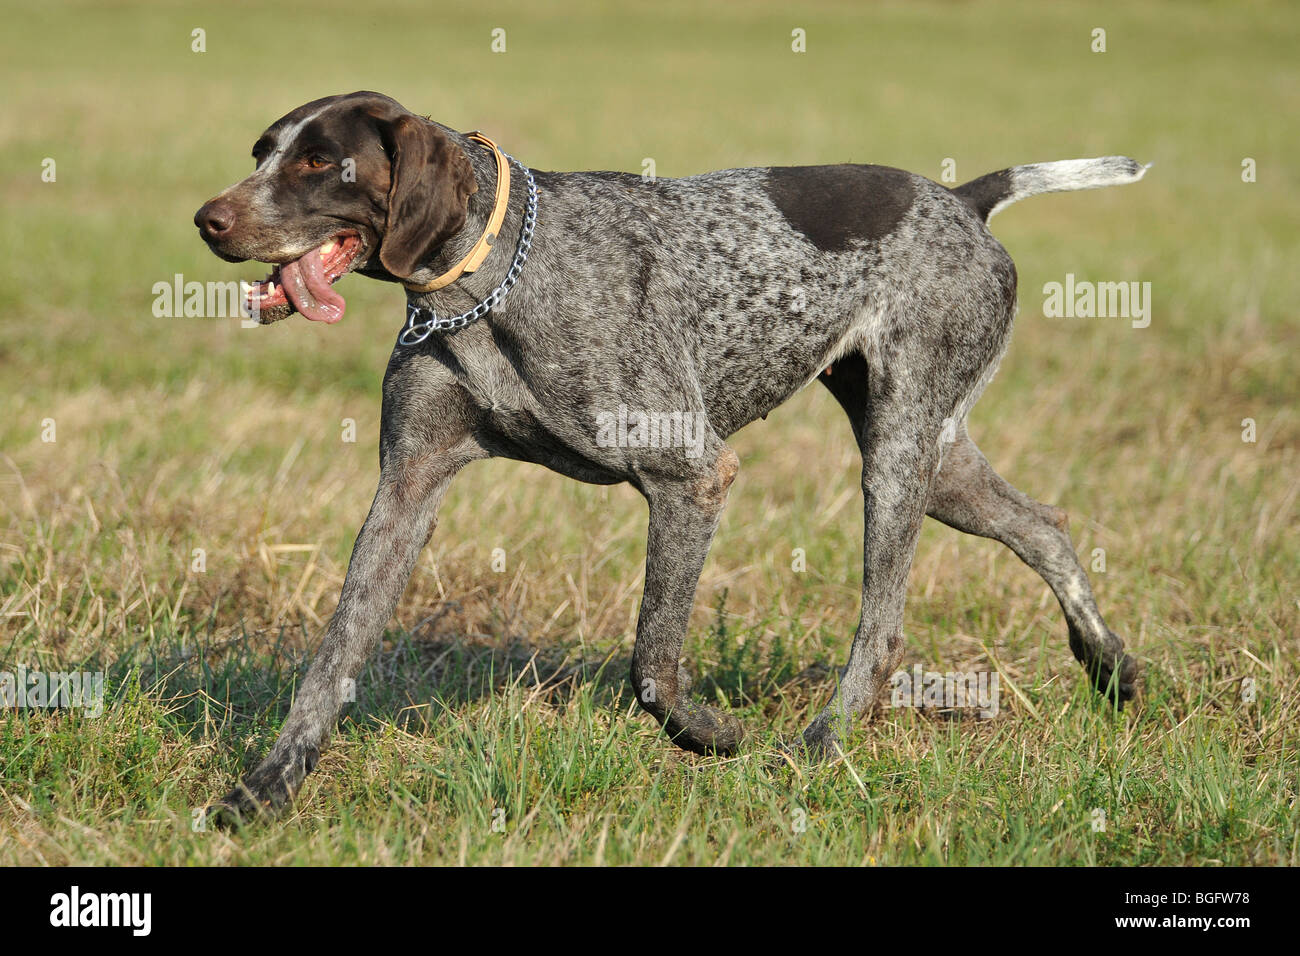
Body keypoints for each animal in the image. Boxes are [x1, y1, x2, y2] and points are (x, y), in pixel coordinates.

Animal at [192, 91, 1138, 822]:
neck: (490, 285)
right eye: (263, 153)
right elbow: (333, 658)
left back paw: (819, 746)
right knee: (1043, 525)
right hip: (935, 460)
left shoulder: (691, 477)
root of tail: (960, 199)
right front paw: (267, 789)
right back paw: (1111, 665)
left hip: (901, 455)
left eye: (323, 163)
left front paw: (709, 735)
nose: (209, 220)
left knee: (884, 626)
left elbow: (651, 659)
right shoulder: (405, 490)